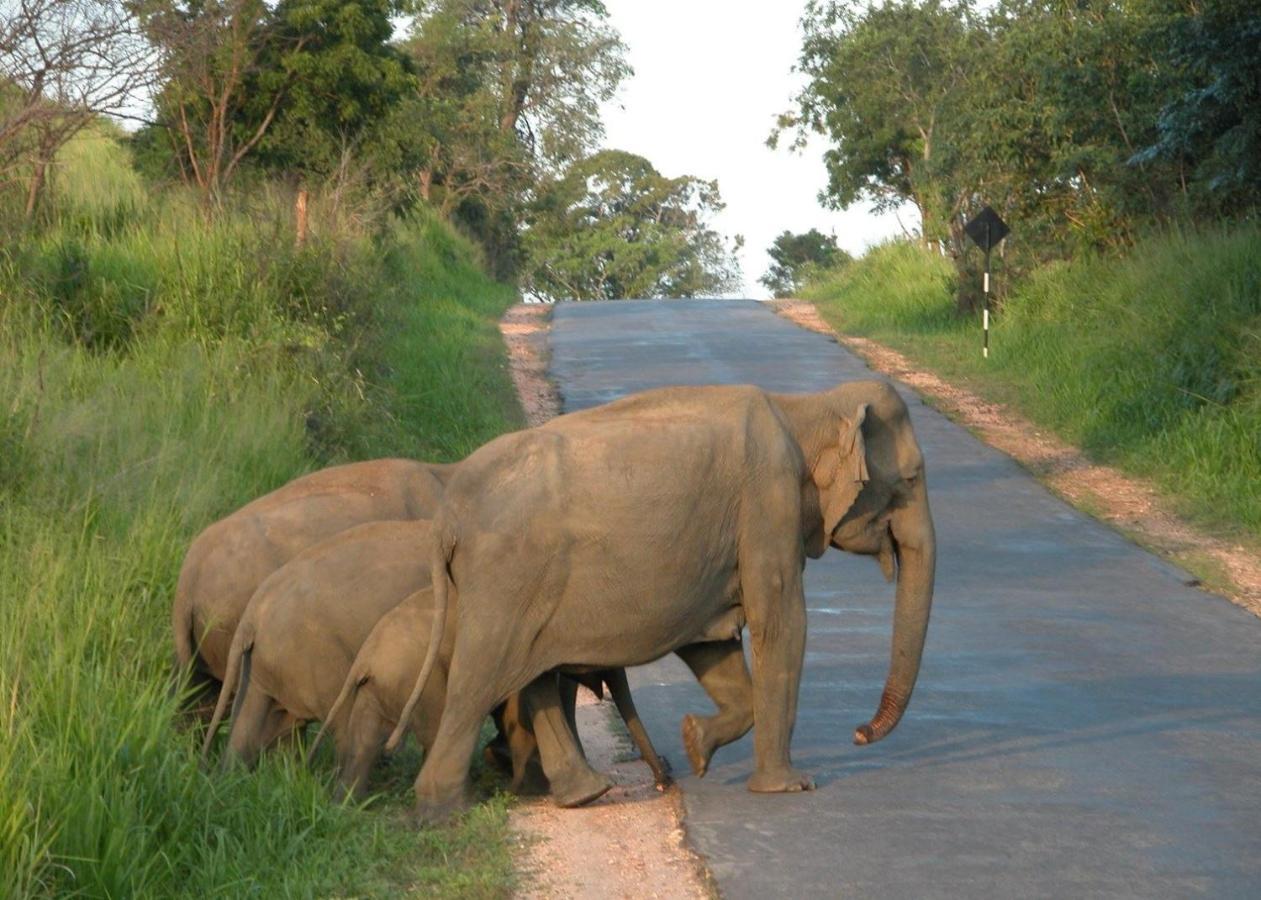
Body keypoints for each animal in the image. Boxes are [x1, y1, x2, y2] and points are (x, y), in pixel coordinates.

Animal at [393, 378, 938, 821]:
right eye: (911, 479)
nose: (859, 732)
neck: (805, 406)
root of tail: (447, 518)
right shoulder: (769, 501)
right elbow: (780, 622)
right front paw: (789, 787)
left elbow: (712, 643)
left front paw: (695, 744)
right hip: (506, 579)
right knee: (479, 680)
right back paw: (444, 811)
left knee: (534, 677)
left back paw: (583, 795)